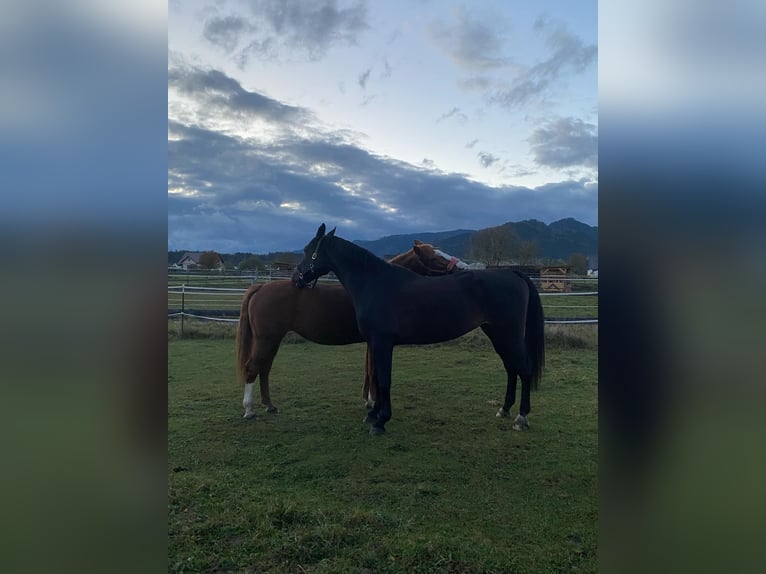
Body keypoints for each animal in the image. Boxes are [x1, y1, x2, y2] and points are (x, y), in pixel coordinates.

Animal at [236, 242, 468, 418]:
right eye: (435, 258)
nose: (464, 269)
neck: (377, 284)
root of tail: (261, 287)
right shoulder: (377, 340)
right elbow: (373, 370)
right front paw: (373, 402)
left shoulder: (372, 341)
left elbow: (368, 369)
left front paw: (368, 400)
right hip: (266, 339)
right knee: (252, 368)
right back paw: (249, 410)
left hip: (272, 340)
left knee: (264, 369)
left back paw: (269, 405)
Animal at [294, 225, 544, 436]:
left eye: (308, 250)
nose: (296, 278)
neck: (375, 283)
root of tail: (512, 274)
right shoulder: (374, 343)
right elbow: (377, 376)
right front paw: (373, 413)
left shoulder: (382, 342)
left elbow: (384, 380)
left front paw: (381, 421)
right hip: (497, 334)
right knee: (511, 368)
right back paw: (504, 409)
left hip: (509, 335)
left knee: (523, 369)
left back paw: (521, 418)